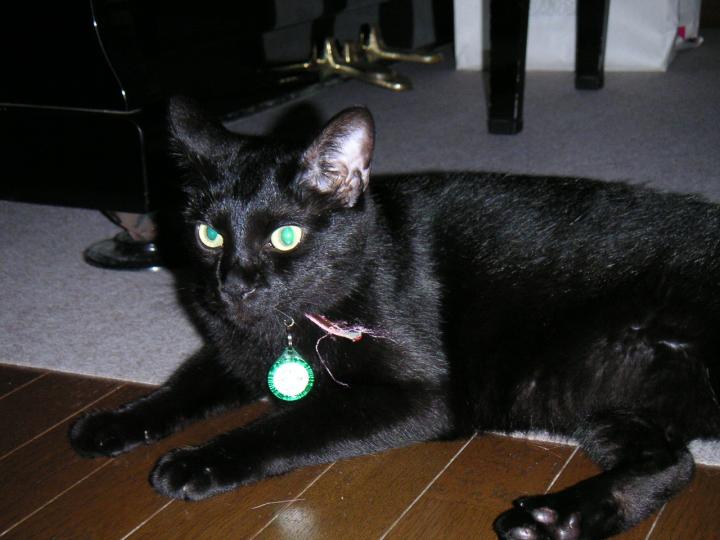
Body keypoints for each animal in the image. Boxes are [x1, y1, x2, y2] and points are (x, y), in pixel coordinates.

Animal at [70, 97, 720, 539]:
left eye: (285, 236)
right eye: (209, 235)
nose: (234, 285)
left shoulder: (422, 395)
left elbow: (289, 422)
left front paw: (199, 461)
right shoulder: (234, 351)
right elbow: (181, 387)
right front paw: (114, 424)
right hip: (602, 393)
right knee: (671, 462)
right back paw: (555, 519)